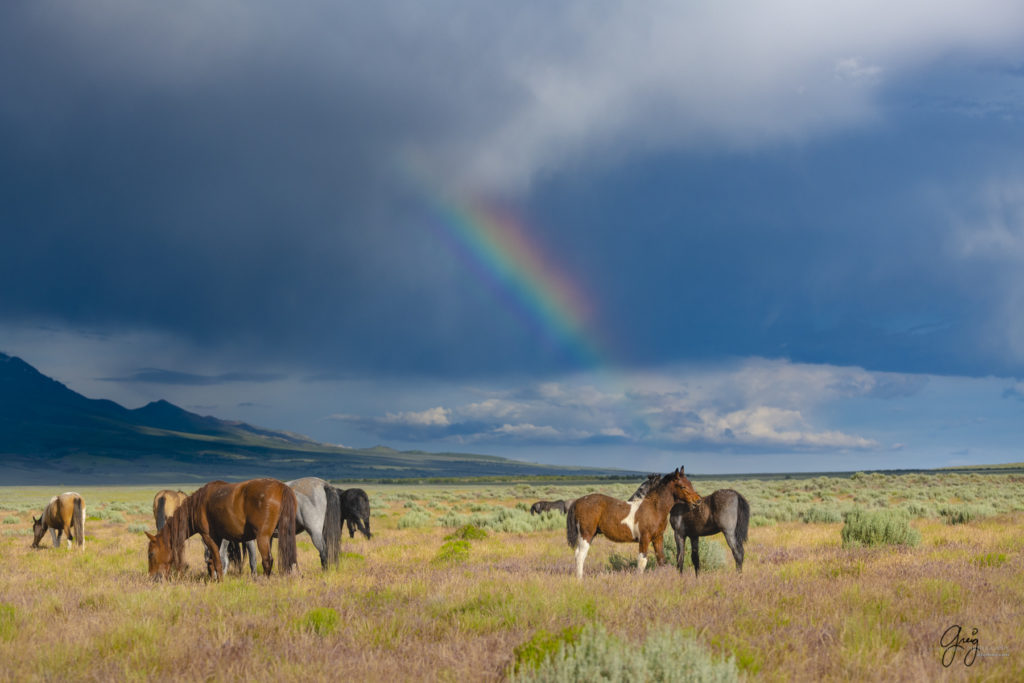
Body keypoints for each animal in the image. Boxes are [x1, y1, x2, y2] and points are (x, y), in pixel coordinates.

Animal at [144, 479, 299, 581]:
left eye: (151, 554)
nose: (152, 578)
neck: (197, 505)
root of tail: (281, 487)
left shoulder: (208, 537)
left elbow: (218, 561)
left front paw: (219, 581)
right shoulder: (217, 539)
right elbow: (213, 560)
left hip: (263, 537)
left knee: (267, 561)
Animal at [565, 466, 700, 581]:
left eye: (690, 483)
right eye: (682, 486)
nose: (697, 501)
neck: (654, 508)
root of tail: (578, 501)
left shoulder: (658, 538)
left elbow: (661, 560)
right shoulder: (644, 538)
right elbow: (642, 561)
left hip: (591, 535)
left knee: (580, 554)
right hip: (586, 534)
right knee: (580, 555)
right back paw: (580, 580)